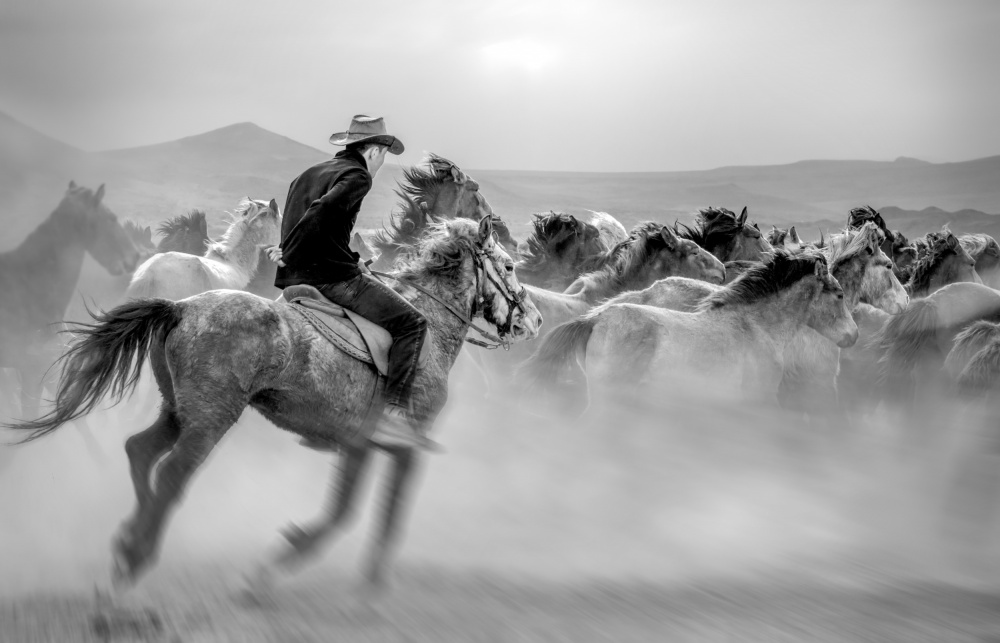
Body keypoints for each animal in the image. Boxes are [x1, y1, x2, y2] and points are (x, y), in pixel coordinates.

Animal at [5, 219, 540, 596]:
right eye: (509, 266)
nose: (533, 320)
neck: (428, 330)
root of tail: (180, 307)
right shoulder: (403, 447)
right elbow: (380, 515)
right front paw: (311, 569)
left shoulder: (359, 444)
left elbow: (347, 510)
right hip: (210, 418)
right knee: (174, 472)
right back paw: (138, 553)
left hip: (177, 409)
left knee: (140, 450)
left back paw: (127, 539)